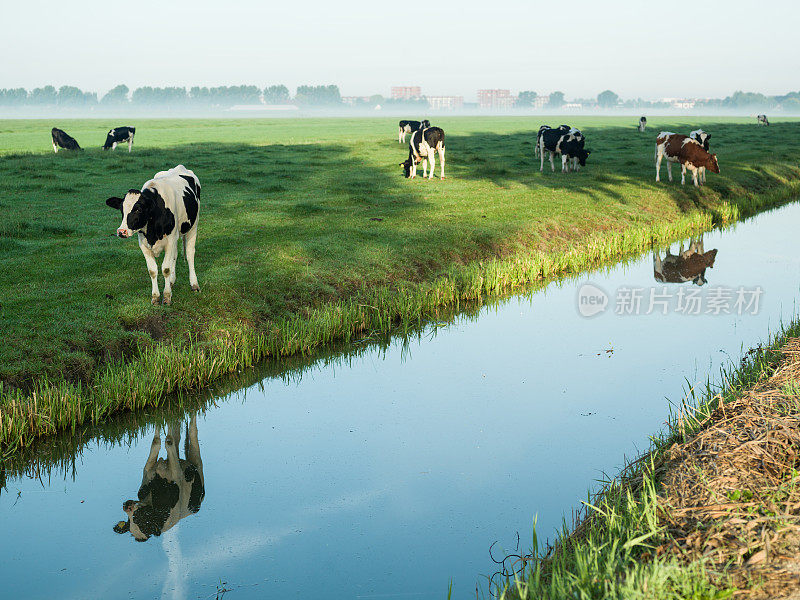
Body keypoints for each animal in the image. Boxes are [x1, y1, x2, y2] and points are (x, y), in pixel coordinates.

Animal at [104, 164, 200, 304]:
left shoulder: (170, 240)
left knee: (189, 253)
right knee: (175, 255)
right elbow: (153, 270)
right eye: (122, 209)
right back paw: (172, 281)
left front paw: (167, 297)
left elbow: (166, 268)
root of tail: (180, 167)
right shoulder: (144, 244)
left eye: (138, 209)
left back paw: (194, 284)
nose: (121, 231)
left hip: (193, 226)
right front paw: (155, 297)